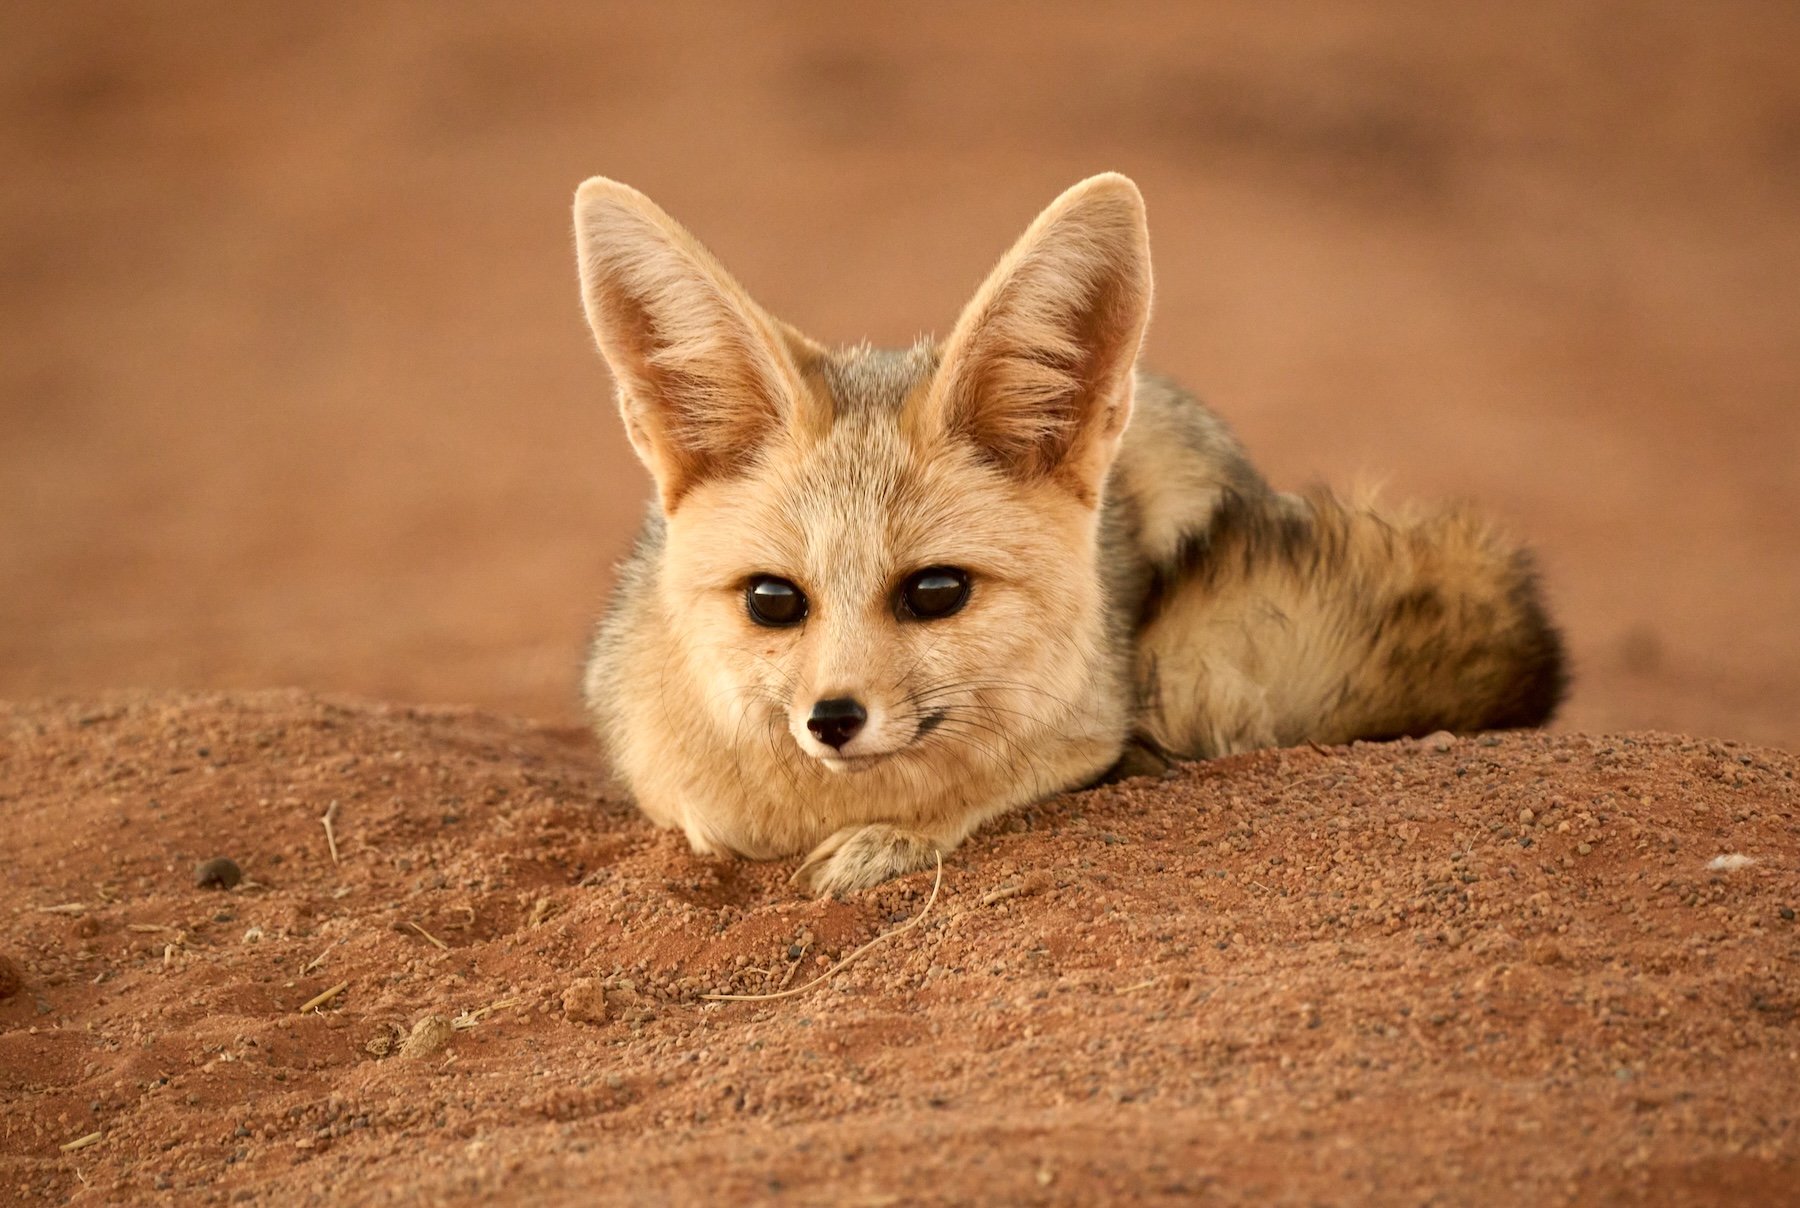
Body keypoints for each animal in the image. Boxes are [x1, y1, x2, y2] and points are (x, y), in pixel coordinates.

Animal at [573, 173, 1566, 897]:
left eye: (936, 592)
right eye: (774, 601)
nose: (833, 721)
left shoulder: (1091, 725)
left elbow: (997, 788)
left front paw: (888, 841)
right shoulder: (664, 775)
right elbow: (708, 821)